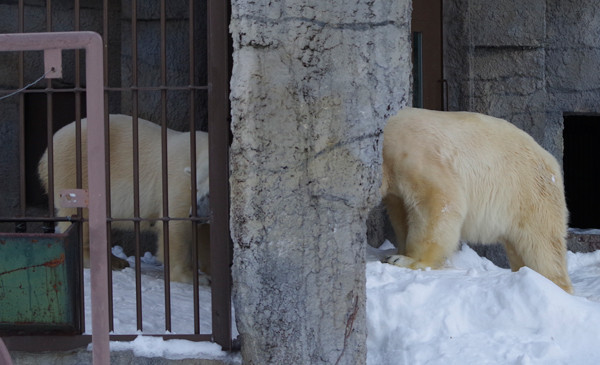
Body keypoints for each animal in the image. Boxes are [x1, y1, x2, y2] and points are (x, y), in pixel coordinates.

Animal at [37, 114, 211, 282]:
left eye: (207, 193)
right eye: (196, 188)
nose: (197, 213)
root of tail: (45, 156)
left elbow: (204, 233)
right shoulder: (179, 182)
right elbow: (178, 226)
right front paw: (193, 277)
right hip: (75, 173)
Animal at [382, 106, 576, 292]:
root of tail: (550, 160)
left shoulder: (413, 152)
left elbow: (437, 201)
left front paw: (404, 259)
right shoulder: (396, 187)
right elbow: (401, 213)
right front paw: (399, 250)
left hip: (529, 191)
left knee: (541, 245)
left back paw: (553, 285)